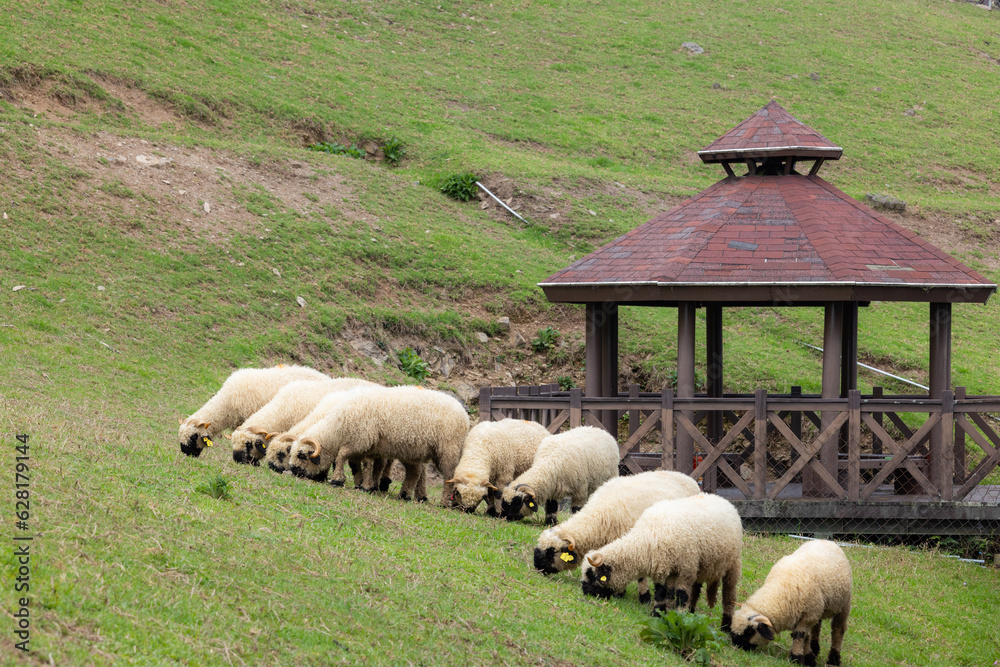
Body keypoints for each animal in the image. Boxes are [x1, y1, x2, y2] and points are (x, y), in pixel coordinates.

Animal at [290, 384, 464, 504]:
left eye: (301, 455)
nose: (292, 470)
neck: (339, 427)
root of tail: (463, 412)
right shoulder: (369, 446)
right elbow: (367, 466)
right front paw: (365, 485)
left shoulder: (360, 439)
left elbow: (342, 456)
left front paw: (337, 480)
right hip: (413, 451)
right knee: (415, 473)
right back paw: (406, 495)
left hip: (448, 449)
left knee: (449, 476)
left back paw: (443, 502)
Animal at [536, 472, 700, 604]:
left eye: (551, 552)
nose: (537, 568)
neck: (599, 517)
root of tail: (689, 478)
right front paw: (621, 592)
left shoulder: (637, 544)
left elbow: (639, 575)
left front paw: (643, 597)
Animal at [580, 490, 744, 632]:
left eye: (593, 576)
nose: (585, 592)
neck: (648, 537)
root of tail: (720, 498)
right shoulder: (661, 568)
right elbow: (660, 593)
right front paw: (658, 614)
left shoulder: (686, 569)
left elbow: (682, 596)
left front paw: (681, 620)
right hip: (702, 565)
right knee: (696, 590)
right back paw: (692, 613)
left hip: (732, 564)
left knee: (729, 596)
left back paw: (725, 625)